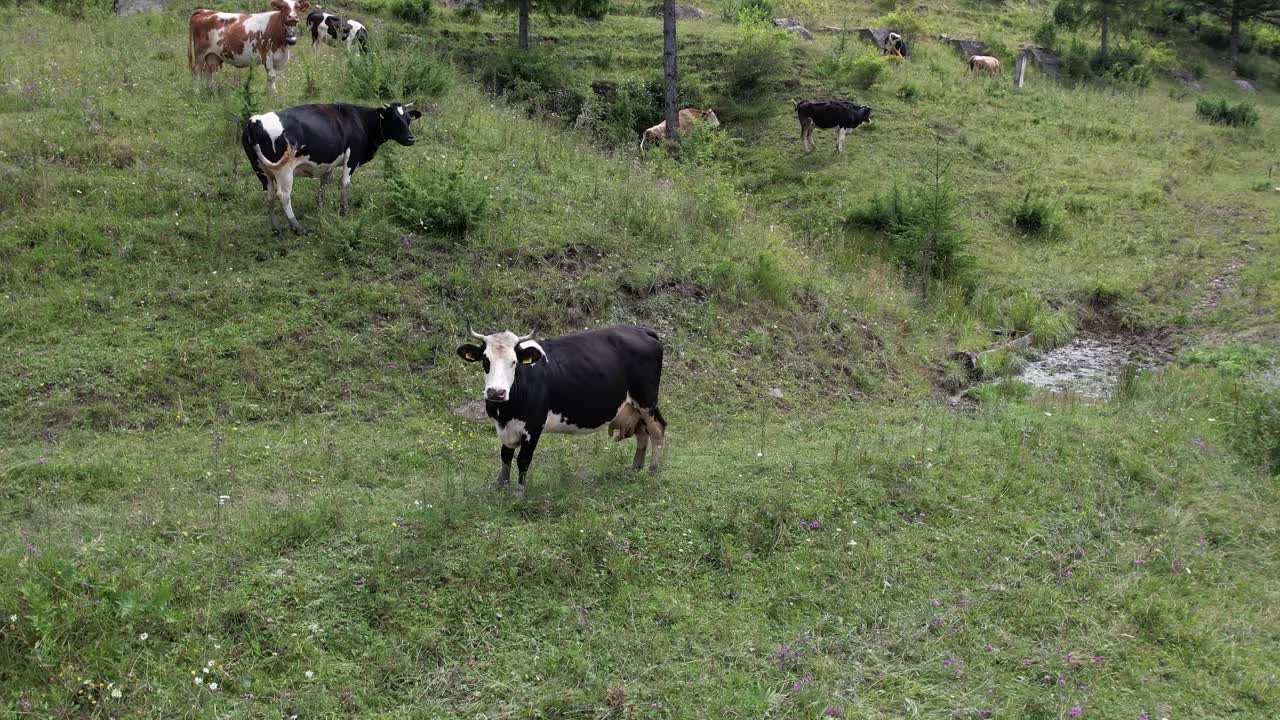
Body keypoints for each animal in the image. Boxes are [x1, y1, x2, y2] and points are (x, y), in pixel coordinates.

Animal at [240, 101, 419, 233]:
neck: (361, 122)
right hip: (284, 171)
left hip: (262, 171)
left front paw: (320, 207)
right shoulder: (351, 158)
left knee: (269, 195)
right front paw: (344, 211)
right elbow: (345, 184)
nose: (411, 139)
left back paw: (276, 228)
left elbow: (324, 184)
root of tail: (254, 121)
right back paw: (297, 227)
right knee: (283, 196)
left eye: (408, 119)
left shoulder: (329, 162)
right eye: (394, 119)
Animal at [455, 322, 665, 497]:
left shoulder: (533, 426)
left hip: (646, 401)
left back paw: (653, 470)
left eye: (513, 362)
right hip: (634, 407)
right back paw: (636, 468)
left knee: (657, 429)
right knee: (642, 432)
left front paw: (519, 493)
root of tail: (642, 329)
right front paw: (501, 486)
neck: (505, 410)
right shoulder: (505, 426)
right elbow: (505, 455)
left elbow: (523, 459)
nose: (496, 392)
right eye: (485, 360)